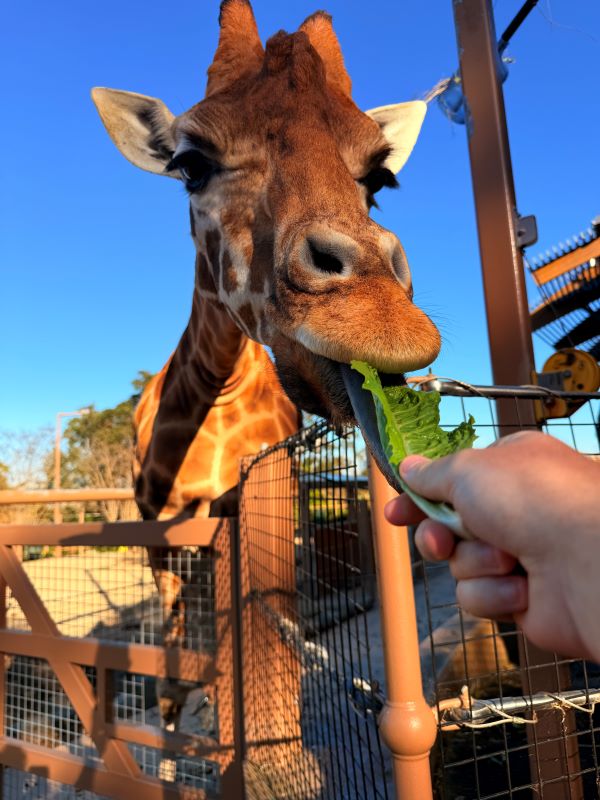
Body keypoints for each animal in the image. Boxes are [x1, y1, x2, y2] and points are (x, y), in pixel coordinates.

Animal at [92, 0, 441, 729]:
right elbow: (173, 624)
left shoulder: (244, 517)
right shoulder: (157, 529)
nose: (382, 322)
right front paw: (172, 704)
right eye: (191, 164)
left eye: (378, 178)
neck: (213, 395)